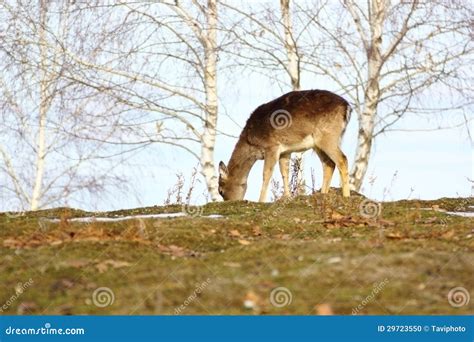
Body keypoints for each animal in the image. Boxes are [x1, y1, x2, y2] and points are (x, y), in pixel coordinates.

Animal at [218, 89, 352, 202]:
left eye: (221, 191)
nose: (229, 202)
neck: (251, 142)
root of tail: (347, 107)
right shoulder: (285, 151)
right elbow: (284, 172)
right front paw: (287, 197)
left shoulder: (272, 146)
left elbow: (266, 174)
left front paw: (261, 200)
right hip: (318, 144)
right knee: (329, 164)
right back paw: (322, 194)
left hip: (328, 136)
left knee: (342, 159)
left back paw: (346, 195)